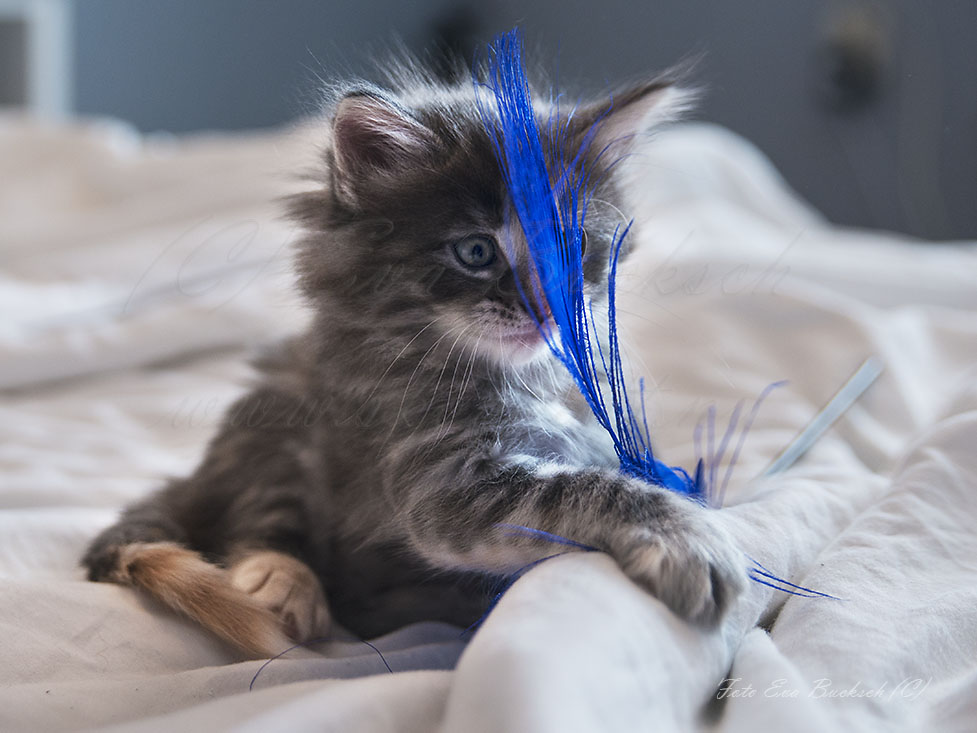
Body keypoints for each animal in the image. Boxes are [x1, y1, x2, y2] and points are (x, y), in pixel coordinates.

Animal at [84, 63, 744, 656]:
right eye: (475, 252)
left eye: (574, 245)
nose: (547, 311)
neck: (522, 377)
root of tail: (197, 477)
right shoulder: (441, 482)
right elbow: (582, 489)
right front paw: (691, 539)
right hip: (282, 421)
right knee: (258, 522)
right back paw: (283, 585)